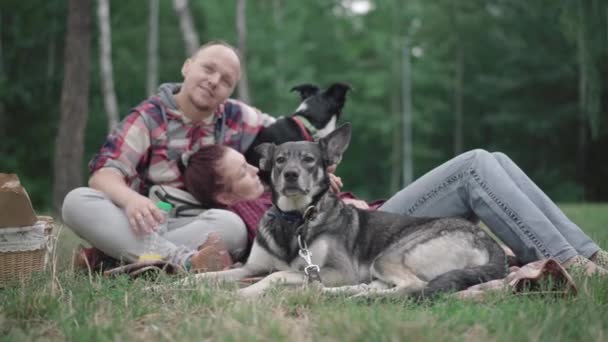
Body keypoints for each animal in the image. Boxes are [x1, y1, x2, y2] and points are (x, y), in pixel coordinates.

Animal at [186, 123, 508, 300]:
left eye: (308, 160)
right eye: (279, 160)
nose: (290, 175)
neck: (295, 219)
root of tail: (486, 238)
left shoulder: (335, 271)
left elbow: (277, 276)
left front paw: (243, 293)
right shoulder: (250, 268)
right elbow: (212, 275)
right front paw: (183, 284)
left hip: (388, 256)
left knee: (412, 287)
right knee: (378, 287)